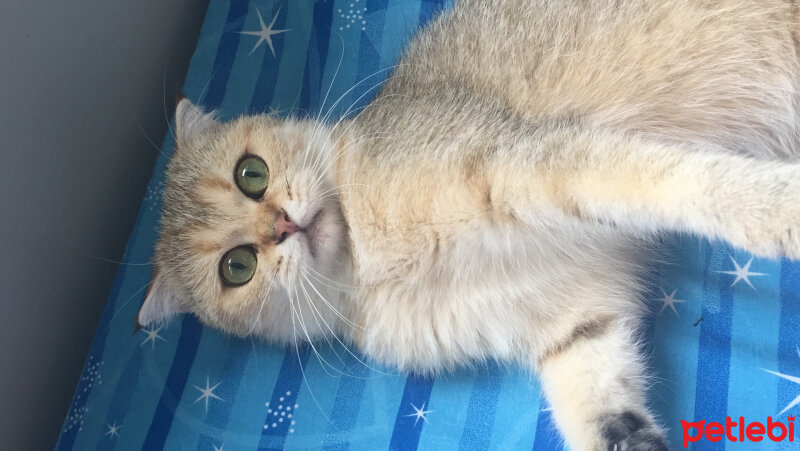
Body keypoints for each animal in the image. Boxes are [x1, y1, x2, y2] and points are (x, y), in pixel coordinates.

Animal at [134, 1, 800, 450]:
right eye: (236, 267)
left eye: (252, 172)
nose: (281, 227)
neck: (367, 264)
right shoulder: (575, 323)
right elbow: (602, 414)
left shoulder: (531, 162)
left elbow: (669, 181)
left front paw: (779, 210)